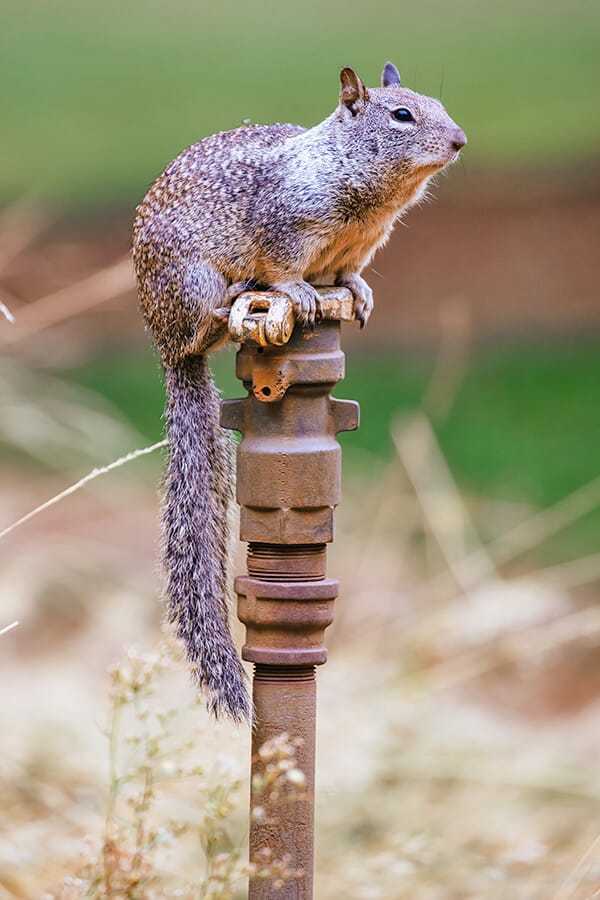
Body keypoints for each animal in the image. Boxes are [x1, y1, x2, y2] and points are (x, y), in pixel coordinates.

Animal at [134, 61, 466, 724]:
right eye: (402, 115)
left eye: (439, 105)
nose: (460, 141)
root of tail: (164, 345)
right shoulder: (284, 227)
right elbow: (286, 268)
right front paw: (299, 291)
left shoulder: (360, 245)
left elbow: (349, 276)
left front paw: (357, 292)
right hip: (192, 281)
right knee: (205, 322)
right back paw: (230, 303)